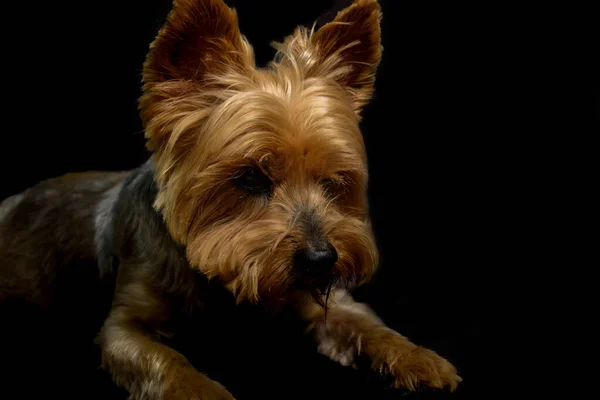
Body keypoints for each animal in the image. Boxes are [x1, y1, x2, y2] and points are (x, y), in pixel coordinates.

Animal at [0, 0, 460, 398]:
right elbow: (167, 363)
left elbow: (364, 323)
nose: (321, 259)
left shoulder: (317, 301)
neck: (224, 283)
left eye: (332, 182)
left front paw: (419, 359)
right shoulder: (124, 327)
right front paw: (204, 393)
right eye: (251, 177)